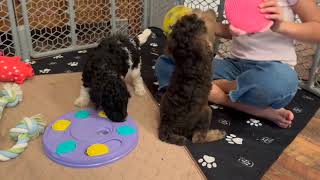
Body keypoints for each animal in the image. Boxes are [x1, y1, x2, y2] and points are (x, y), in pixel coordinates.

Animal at [159, 9, 226, 146]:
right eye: (203, 23)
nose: (212, 10)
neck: (188, 60)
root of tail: (167, 127)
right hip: (206, 112)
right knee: (198, 138)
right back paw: (217, 134)